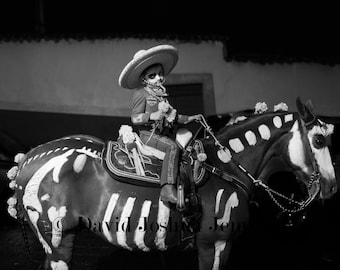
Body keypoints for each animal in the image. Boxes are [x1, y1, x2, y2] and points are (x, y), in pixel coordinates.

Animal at [5, 97, 338, 270]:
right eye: (319, 141)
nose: (333, 187)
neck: (227, 166)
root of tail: (29, 158)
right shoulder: (215, 244)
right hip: (56, 238)